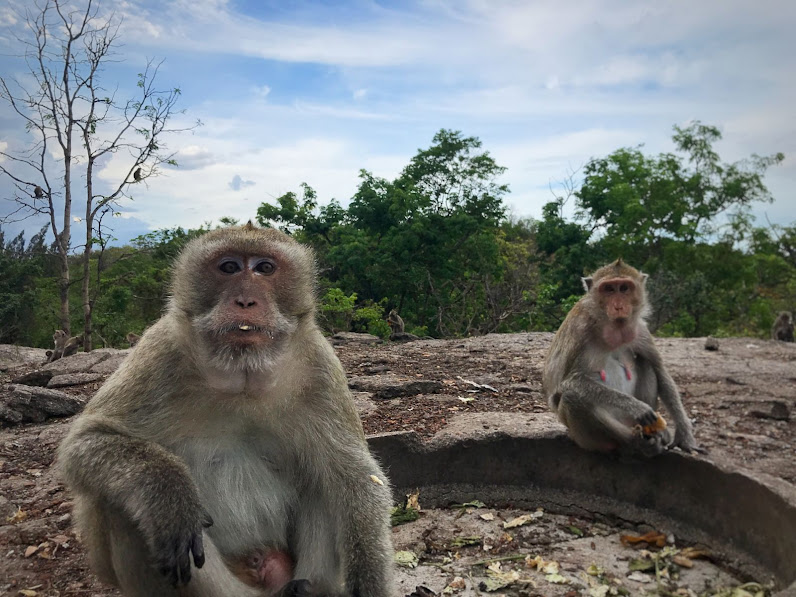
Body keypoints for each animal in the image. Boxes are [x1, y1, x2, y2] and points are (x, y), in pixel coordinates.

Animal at [57, 224, 394, 596]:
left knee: (325, 480)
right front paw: (169, 496)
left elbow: (357, 478)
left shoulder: (320, 366)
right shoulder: (160, 351)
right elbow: (86, 441)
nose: (245, 301)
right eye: (229, 267)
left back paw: (310, 589)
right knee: (118, 502)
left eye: (265, 268)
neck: (242, 376)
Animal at [540, 258, 704, 458]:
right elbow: (569, 382)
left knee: (645, 362)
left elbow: (660, 371)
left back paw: (653, 436)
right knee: (572, 398)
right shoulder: (579, 331)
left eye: (624, 288)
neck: (614, 328)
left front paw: (684, 436)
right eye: (609, 289)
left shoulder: (640, 331)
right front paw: (636, 407)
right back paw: (634, 443)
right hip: (587, 439)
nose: (618, 305)